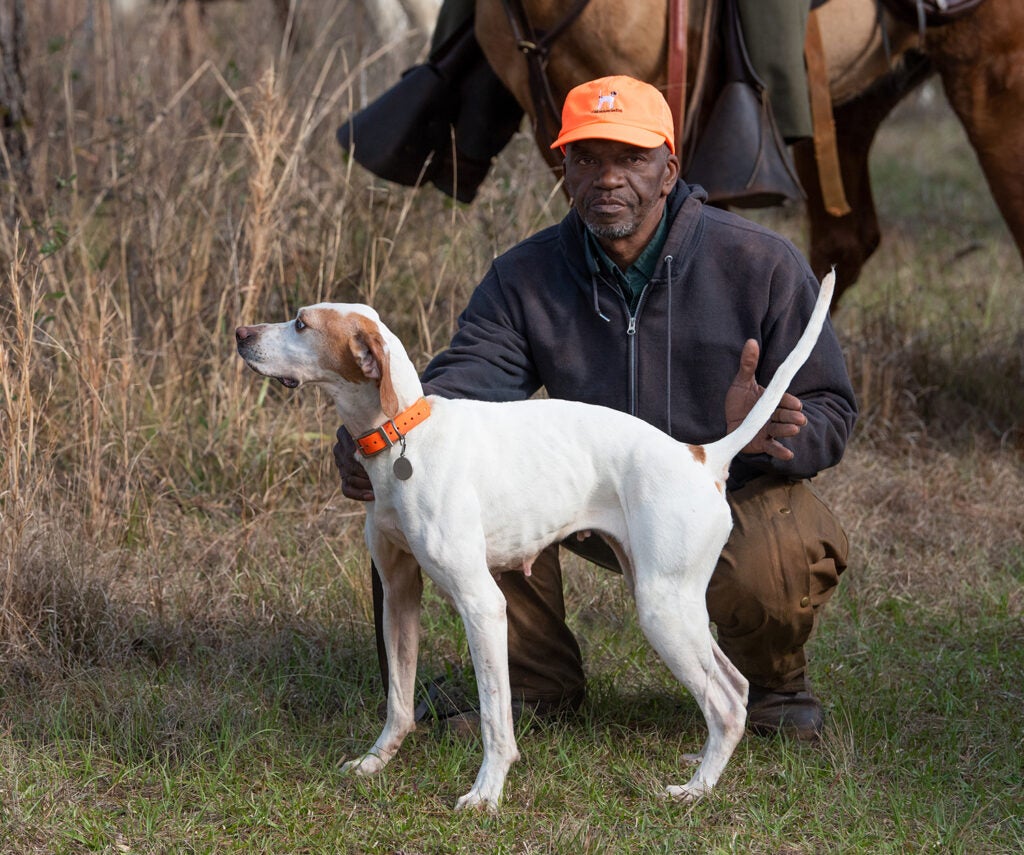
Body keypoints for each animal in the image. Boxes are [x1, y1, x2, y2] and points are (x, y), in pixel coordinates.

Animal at [241, 270, 839, 810]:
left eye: (301, 323)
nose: (241, 333)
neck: (404, 436)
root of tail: (702, 457)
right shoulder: (399, 593)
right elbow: (400, 703)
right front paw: (375, 762)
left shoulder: (482, 604)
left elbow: (493, 715)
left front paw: (487, 793)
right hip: (673, 602)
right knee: (735, 687)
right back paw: (702, 763)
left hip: (662, 608)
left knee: (727, 703)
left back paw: (696, 790)